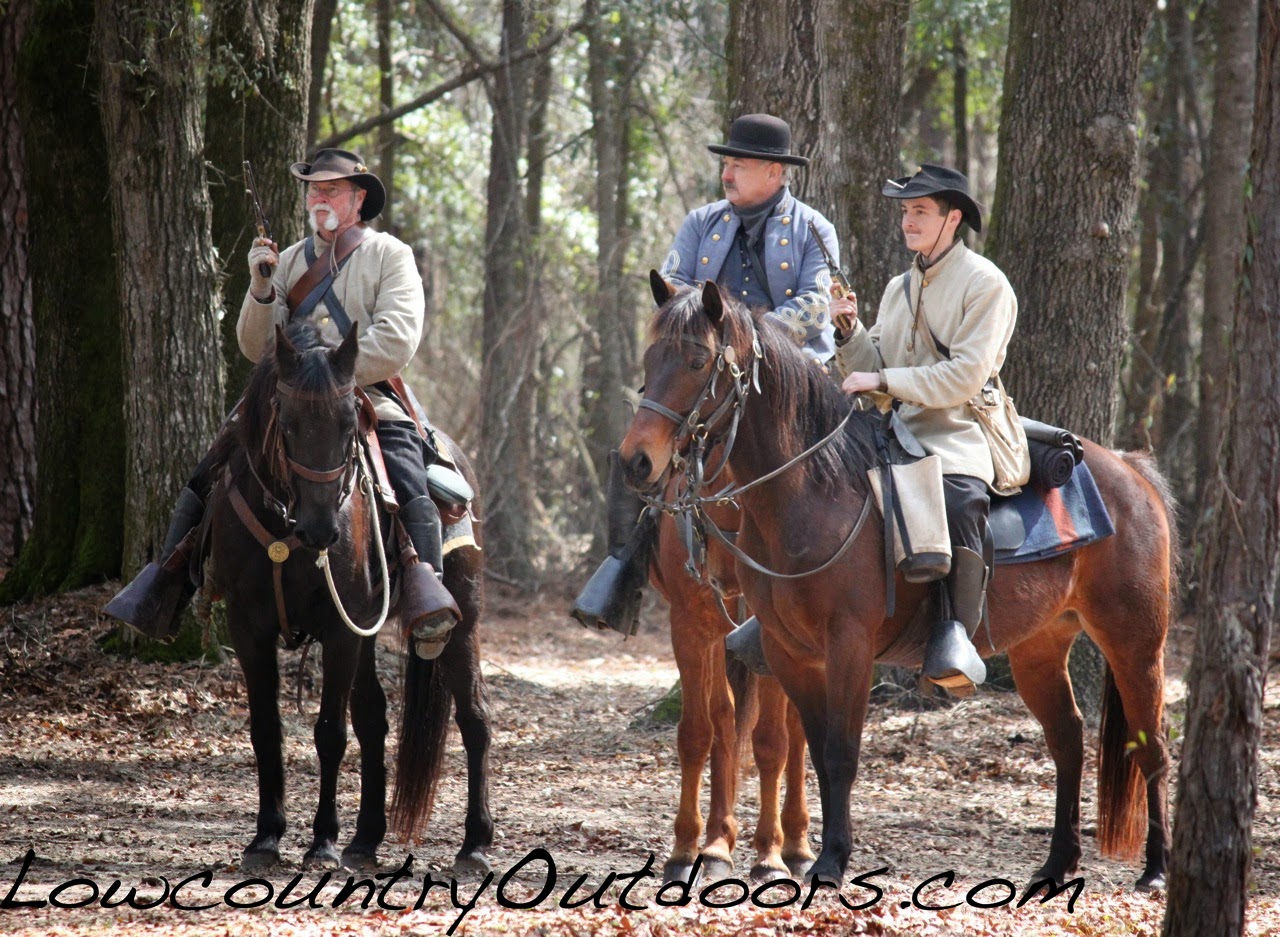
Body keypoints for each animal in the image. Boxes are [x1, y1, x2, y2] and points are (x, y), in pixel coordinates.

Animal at [205, 320, 492, 873]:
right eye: (287, 420)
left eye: (346, 424)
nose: (321, 530)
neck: (285, 529)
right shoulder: (248, 628)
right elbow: (266, 728)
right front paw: (266, 838)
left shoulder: (340, 629)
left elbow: (329, 733)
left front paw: (322, 842)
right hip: (368, 631)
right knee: (374, 717)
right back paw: (366, 839)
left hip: (461, 620)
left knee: (474, 718)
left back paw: (475, 844)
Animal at [648, 469, 813, 884]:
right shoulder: (689, 627)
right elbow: (696, 734)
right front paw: (684, 852)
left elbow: (771, 743)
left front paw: (769, 856)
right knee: (724, 716)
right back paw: (717, 845)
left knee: (795, 729)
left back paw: (796, 846)